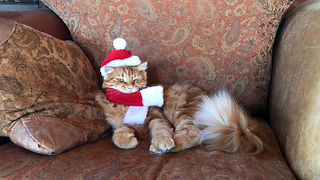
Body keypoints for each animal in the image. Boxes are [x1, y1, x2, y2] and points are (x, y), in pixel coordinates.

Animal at [95, 62, 264, 155]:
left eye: (135, 79)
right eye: (120, 79)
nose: (130, 87)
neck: (127, 103)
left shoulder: (157, 117)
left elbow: (161, 130)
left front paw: (162, 141)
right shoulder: (122, 125)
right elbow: (117, 136)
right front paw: (129, 140)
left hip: (181, 112)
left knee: (194, 134)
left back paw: (164, 147)